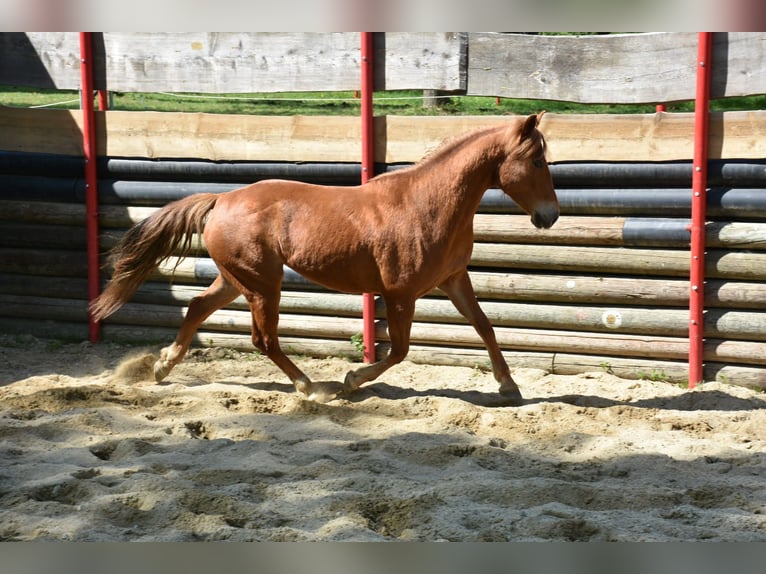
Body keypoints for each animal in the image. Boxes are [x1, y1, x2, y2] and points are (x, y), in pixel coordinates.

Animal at [91, 112, 559, 406]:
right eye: (537, 160)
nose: (550, 215)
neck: (427, 204)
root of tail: (221, 199)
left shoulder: (454, 278)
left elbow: (485, 326)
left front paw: (509, 387)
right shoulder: (400, 293)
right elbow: (399, 350)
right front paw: (351, 382)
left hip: (237, 279)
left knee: (197, 306)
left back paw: (162, 367)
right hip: (263, 285)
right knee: (263, 340)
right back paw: (312, 387)